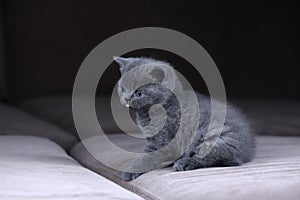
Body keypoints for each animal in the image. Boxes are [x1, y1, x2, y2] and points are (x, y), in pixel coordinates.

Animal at [113, 56, 254, 181]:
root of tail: (248, 150)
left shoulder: (164, 139)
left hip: (216, 136)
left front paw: (131, 171)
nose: (126, 99)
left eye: (138, 93)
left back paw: (184, 163)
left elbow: (147, 157)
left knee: (217, 158)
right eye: (123, 89)